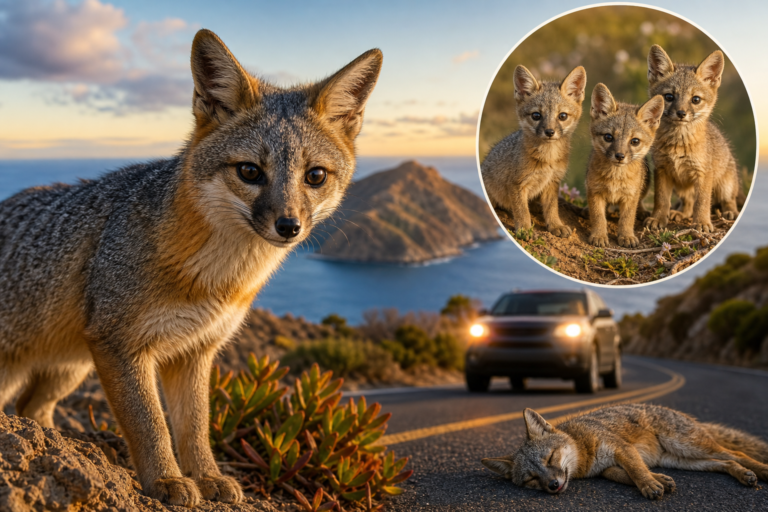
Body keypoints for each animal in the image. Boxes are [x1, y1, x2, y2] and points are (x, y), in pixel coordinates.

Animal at [0, 30, 382, 507]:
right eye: (250, 171)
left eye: (315, 176)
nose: (289, 226)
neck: (214, 280)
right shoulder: (121, 346)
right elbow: (151, 425)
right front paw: (165, 480)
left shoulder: (195, 351)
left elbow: (195, 427)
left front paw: (208, 476)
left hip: (69, 369)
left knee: (30, 408)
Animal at [481, 65, 587, 239]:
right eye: (536, 115)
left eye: (562, 116)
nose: (549, 132)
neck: (548, 158)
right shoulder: (517, 185)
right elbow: (522, 211)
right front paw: (525, 230)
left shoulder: (552, 182)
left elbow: (552, 208)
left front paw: (555, 225)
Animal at [481, 404, 768, 500]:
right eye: (531, 479)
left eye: (550, 458)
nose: (553, 485)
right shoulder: (608, 468)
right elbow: (630, 473)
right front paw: (659, 480)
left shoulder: (621, 448)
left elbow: (636, 469)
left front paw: (649, 486)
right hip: (681, 459)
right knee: (724, 463)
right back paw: (745, 475)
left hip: (688, 446)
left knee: (736, 454)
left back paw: (760, 470)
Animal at [585, 84, 664, 248]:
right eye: (608, 137)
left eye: (635, 141)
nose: (620, 156)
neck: (616, 177)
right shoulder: (595, 192)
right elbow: (598, 217)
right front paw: (599, 235)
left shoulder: (630, 196)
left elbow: (627, 218)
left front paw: (627, 236)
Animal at [643, 44, 741, 233]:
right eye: (669, 97)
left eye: (695, 99)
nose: (681, 113)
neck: (678, 144)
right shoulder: (662, 169)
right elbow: (661, 200)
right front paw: (658, 218)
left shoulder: (703, 174)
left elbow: (702, 202)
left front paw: (702, 222)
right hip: (681, 188)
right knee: (687, 204)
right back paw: (679, 214)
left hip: (725, 186)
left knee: (728, 200)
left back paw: (730, 212)